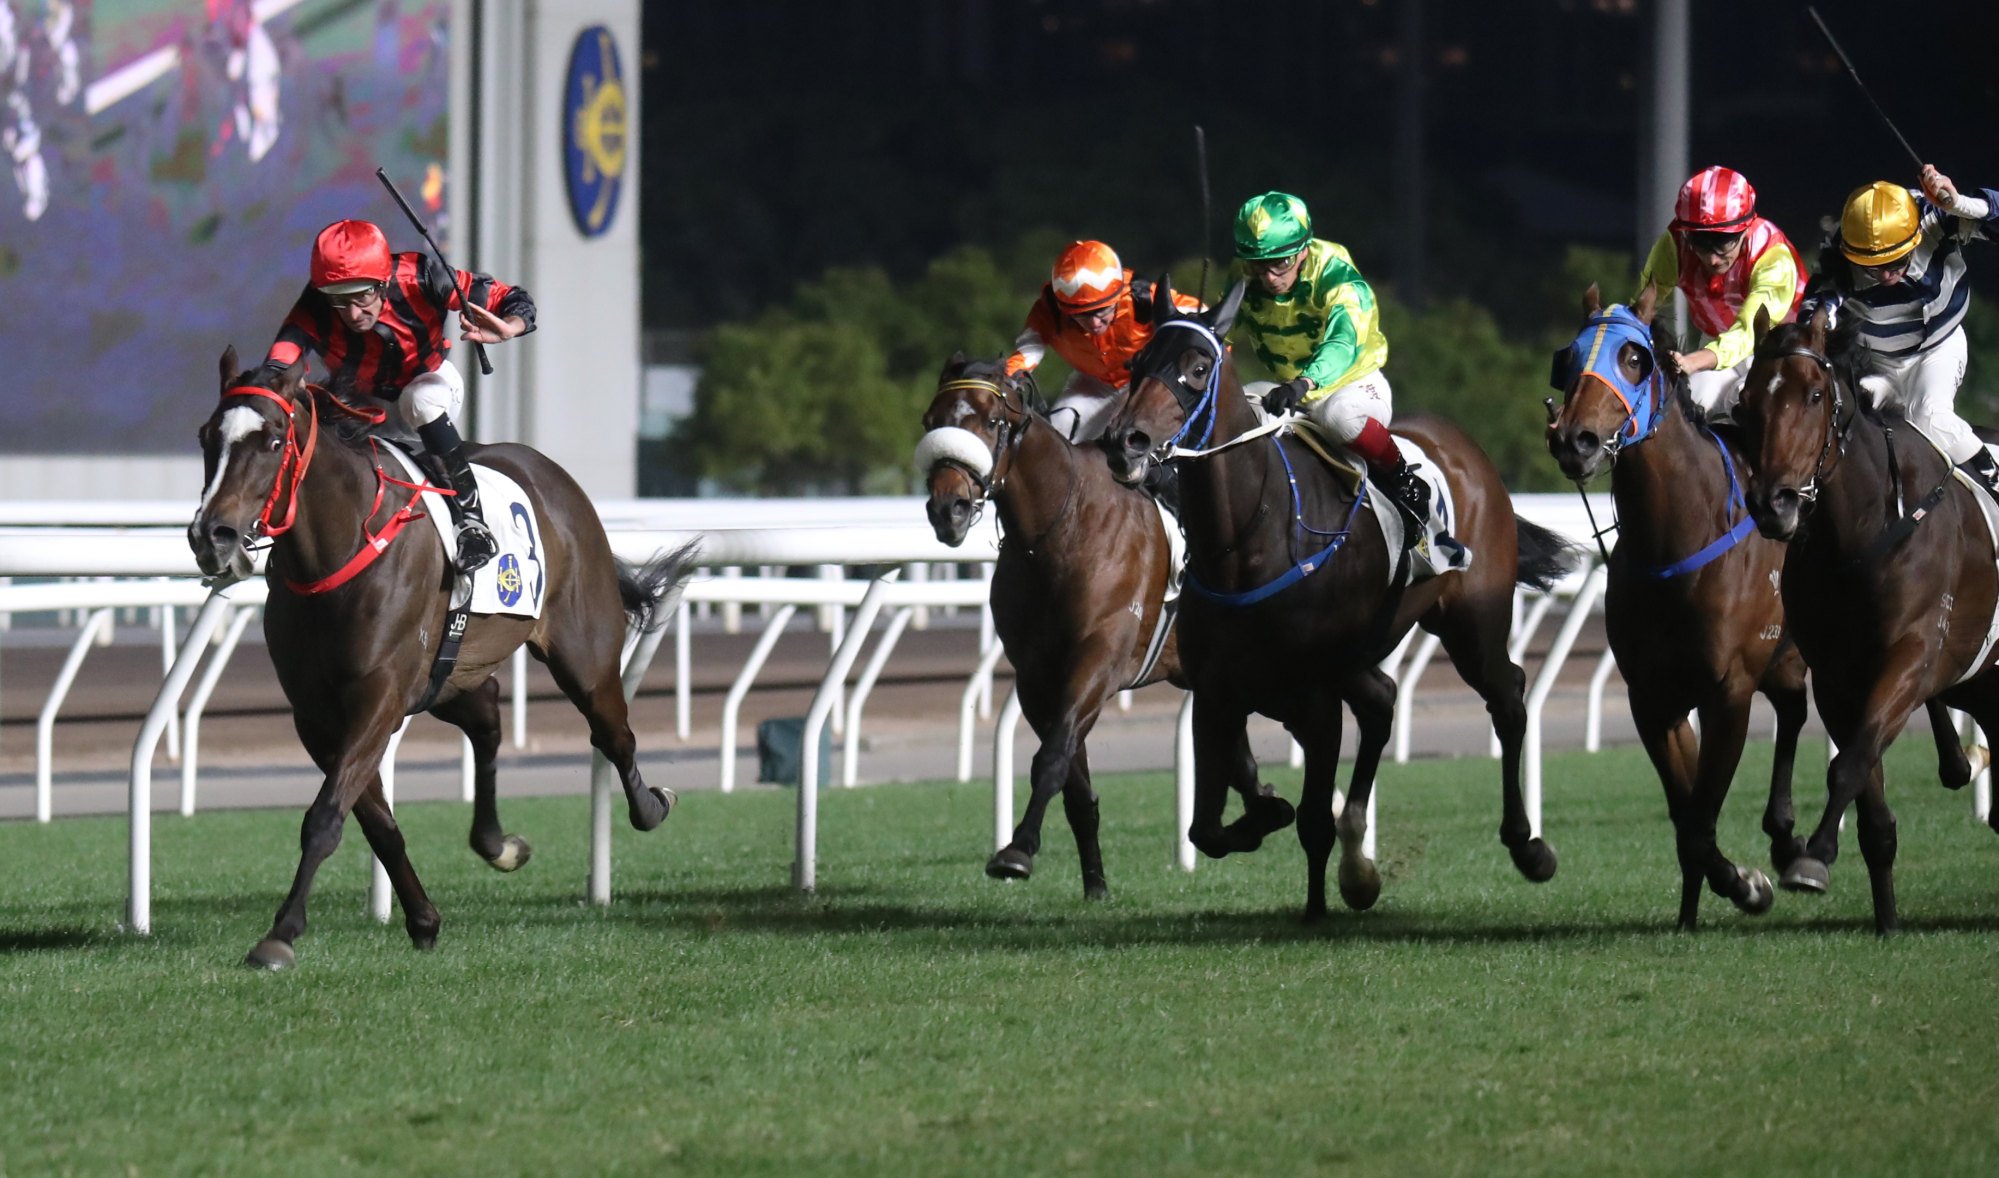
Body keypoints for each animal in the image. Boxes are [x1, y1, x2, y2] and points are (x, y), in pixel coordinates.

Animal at [192, 350, 695, 964]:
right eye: (206, 436)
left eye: (270, 441)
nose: (211, 535)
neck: (336, 551)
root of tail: (554, 477)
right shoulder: (317, 715)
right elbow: (375, 821)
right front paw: (423, 918)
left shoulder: (378, 697)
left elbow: (326, 816)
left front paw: (281, 933)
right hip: (449, 679)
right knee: (489, 721)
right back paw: (497, 844)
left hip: (586, 658)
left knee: (614, 735)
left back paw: (651, 805)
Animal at [919, 354, 1295, 896]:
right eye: (931, 421)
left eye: (992, 422)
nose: (948, 509)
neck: (1062, 528)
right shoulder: (1037, 678)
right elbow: (1074, 782)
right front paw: (1094, 883)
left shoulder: (1098, 658)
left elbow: (1052, 758)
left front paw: (1016, 851)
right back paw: (1260, 810)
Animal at [1095, 280, 1575, 916]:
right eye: (1136, 364)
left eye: (1198, 368)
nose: (1124, 442)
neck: (1249, 540)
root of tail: (1466, 450)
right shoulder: (1219, 690)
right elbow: (1208, 829)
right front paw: (1270, 818)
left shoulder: (1314, 698)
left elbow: (1311, 820)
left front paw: (1316, 907)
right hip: (1358, 657)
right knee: (1383, 701)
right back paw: (1358, 862)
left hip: (1472, 625)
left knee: (1508, 698)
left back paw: (1527, 845)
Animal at [1535, 282, 1807, 920]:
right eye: (1567, 357)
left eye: (1634, 358)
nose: (1575, 440)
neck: (1677, 539)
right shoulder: (1653, 697)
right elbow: (1687, 819)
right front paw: (1697, 908)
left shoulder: (1729, 690)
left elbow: (1702, 819)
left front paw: (1747, 885)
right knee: (1793, 708)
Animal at [1735, 308, 1999, 932]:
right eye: (1747, 400)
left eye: (1814, 394)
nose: (1774, 504)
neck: (1860, 532)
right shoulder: (1839, 676)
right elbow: (1868, 791)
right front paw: (1885, 918)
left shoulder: (1912, 656)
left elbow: (1849, 763)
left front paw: (1813, 856)